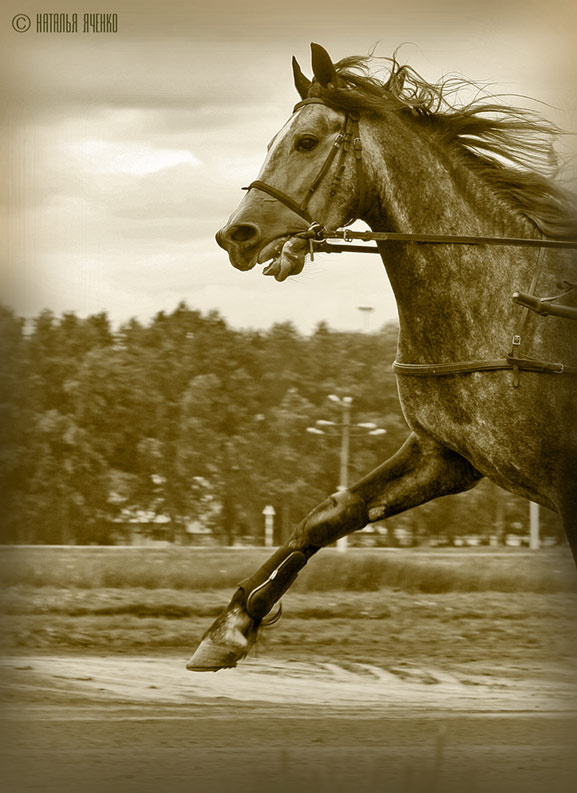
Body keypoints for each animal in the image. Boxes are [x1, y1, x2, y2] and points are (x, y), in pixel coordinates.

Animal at [187, 43, 577, 671]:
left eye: (306, 141)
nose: (236, 235)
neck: (516, 310)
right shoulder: (442, 454)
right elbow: (330, 514)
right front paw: (231, 625)